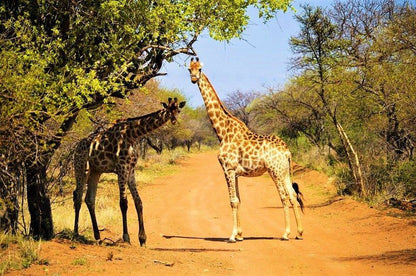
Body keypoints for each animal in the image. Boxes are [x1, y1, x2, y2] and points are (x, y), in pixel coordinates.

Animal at [73, 97, 185, 246]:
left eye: (178, 110)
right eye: (168, 109)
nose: (174, 120)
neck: (133, 134)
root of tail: (76, 148)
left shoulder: (131, 169)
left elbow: (138, 201)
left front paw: (142, 239)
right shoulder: (122, 168)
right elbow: (123, 203)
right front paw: (126, 237)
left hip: (96, 171)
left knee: (89, 199)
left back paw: (97, 236)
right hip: (81, 167)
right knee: (78, 196)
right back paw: (75, 233)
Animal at [188, 57, 302, 242]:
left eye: (199, 69)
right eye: (188, 69)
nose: (193, 78)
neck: (222, 132)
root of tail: (287, 151)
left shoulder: (227, 169)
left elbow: (232, 201)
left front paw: (232, 236)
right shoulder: (235, 172)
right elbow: (239, 200)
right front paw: (240, 235)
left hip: (275, 171)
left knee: (284, 196)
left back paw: (286, 234)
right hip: (285, 171)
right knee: (292, 195)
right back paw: (299, 232)